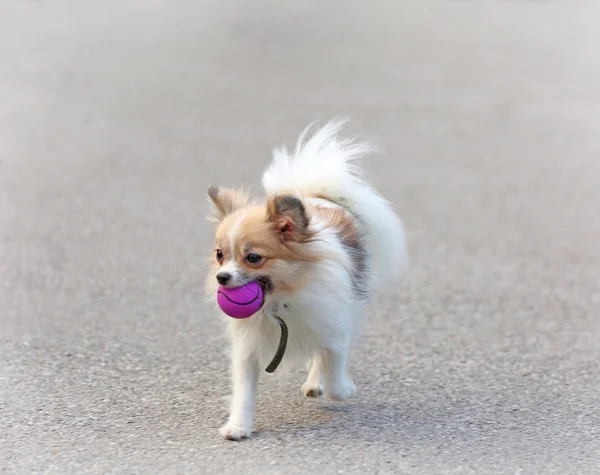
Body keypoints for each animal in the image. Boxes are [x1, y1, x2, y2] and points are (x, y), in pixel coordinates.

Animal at [206, 121, 408, 440]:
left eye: (253, 257)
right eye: (220, 255)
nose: (221, 277)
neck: (282, 298)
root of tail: (313, 196)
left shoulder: (334, 325)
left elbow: (334, 369)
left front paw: (344, 389)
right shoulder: (248, 347)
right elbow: (244, 390)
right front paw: (238, 425)